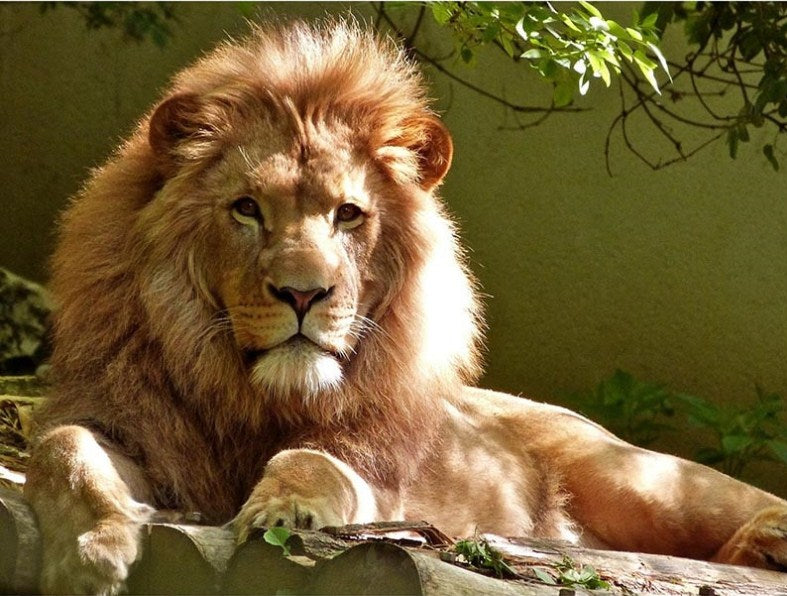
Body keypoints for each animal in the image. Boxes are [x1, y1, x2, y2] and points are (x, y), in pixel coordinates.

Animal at [24, 19, 787, 595]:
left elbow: (312, 462)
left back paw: (767, 540)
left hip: (641, 479)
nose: (303, 293)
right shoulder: (128, 425)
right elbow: (62, 448)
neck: (253, 397)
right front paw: (93, 549)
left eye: (348, 214)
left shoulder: (374, 474)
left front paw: (285, 509)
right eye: (246, 209)